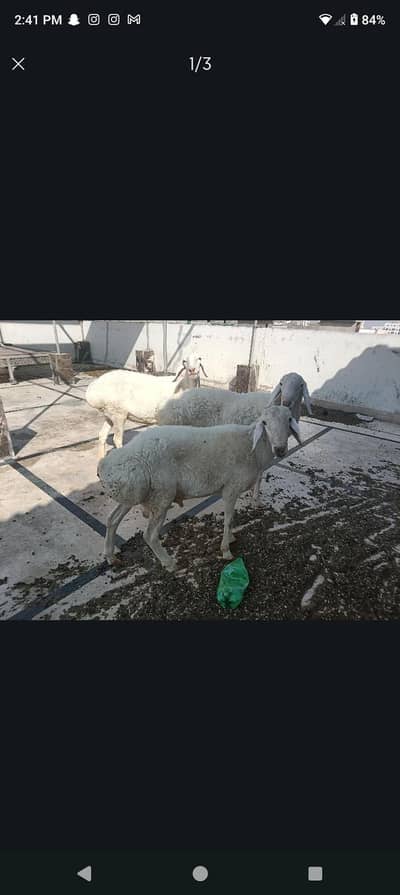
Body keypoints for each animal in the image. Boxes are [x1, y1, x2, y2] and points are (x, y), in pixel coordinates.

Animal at [98, 404, 301, 573]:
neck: (253, 448)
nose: (280, 449)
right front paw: (226, 550)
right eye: (265, 423)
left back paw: (110, 557)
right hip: (161, 496)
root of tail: (110, 464)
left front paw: (230, 538)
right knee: (150, 536)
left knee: (112, 519)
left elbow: (231, 519)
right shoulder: (230, 489)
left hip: (135, 494)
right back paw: (169, 563)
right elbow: (228, 520)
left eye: (289, 419)